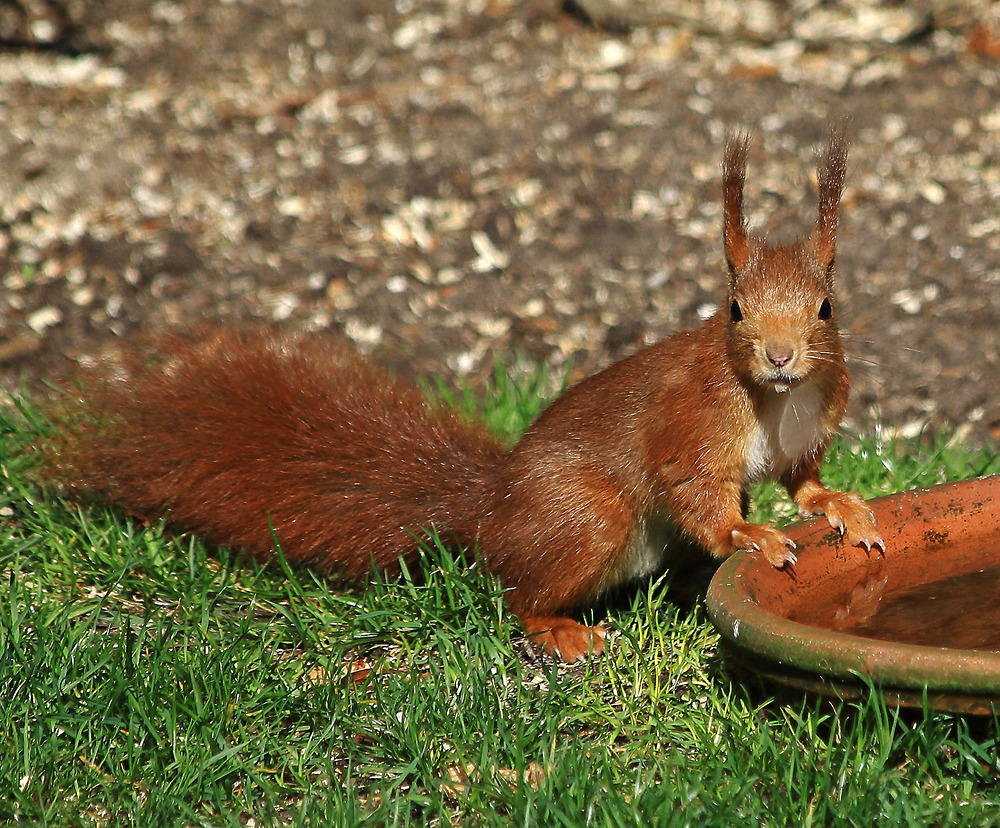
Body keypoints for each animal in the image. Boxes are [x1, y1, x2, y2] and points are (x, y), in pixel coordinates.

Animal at [43, 129, 880, 660]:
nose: (779, 355)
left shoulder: (811, 420)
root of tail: (489, 508)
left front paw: (840, 507)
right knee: (518, 593)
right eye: (734, 309)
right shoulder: (690, 423)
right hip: (587, 515)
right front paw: (751, 537)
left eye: (825, 308)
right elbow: (697, 494)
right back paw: (560, 631)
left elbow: (801, 482)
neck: (772, 398)